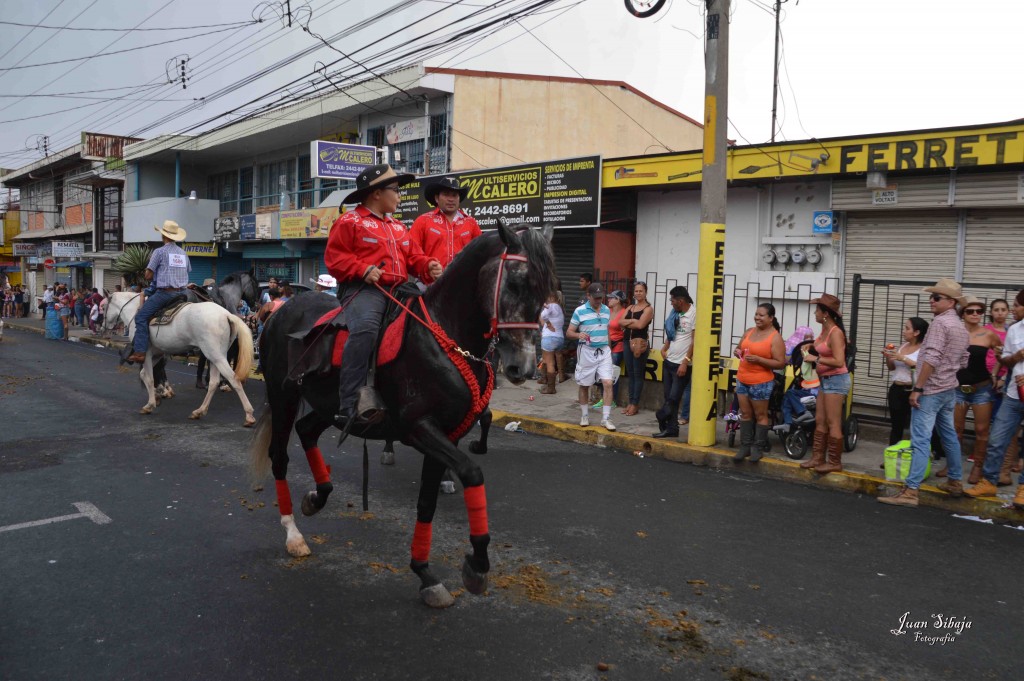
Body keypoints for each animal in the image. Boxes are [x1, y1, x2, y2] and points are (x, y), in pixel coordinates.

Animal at [105, 290, 258, 426]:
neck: (135, 311)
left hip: (216, 356)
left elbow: (149, 378)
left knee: (234, 379)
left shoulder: (146, 353)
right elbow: (145, 374)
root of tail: (226, 314)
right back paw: (199, 411)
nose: (104, 327)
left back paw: (249, 415)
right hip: (215, 356)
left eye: (103, 306)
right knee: (214, 382)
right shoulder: (157, 354)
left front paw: (151, 404)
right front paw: (159, 395)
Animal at [248, 222, 557, 606]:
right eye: (515, 283)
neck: (444, 334)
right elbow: (472, 473)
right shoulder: (419, 428)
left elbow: (427, 503)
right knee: (279, 456)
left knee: (306, 431)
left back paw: (317, 497)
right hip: (283, 396)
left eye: (546, 289)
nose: (523, 367)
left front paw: (426, 574)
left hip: (328, 404)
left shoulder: (447, 434)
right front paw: (477, 565)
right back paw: (293, 534)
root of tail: (280, 310)